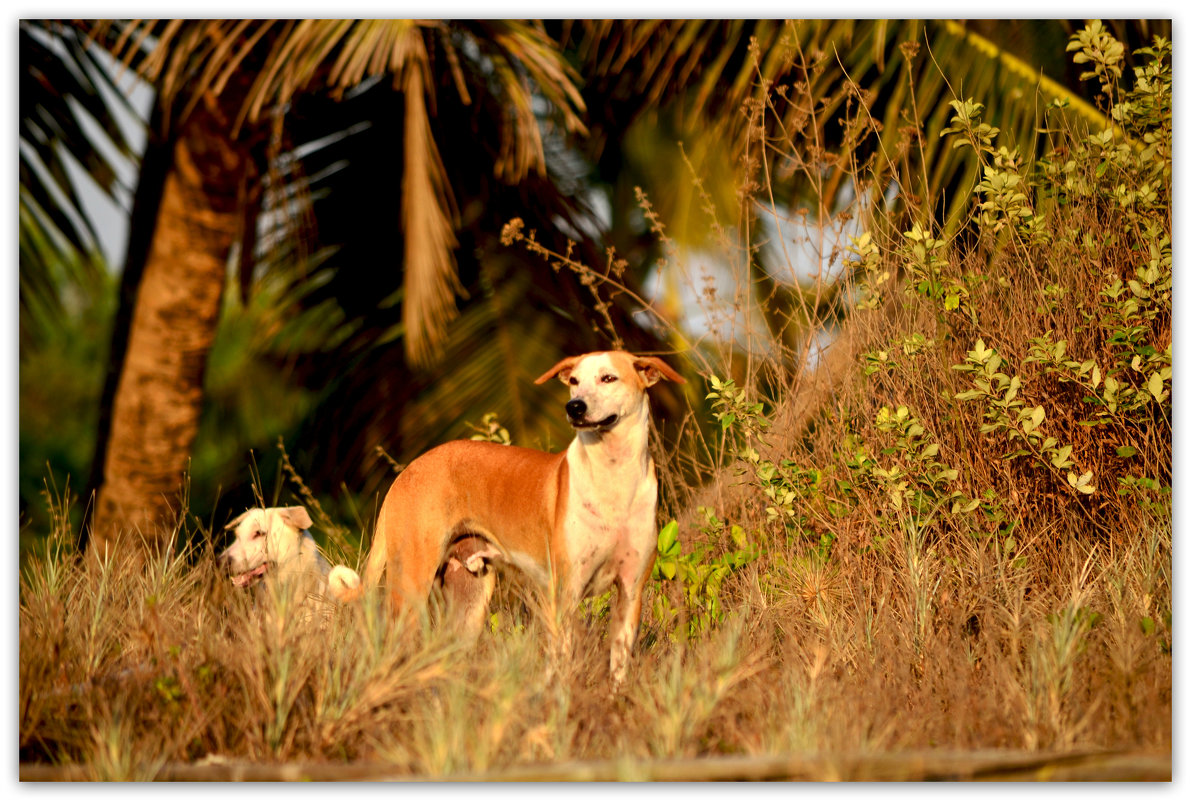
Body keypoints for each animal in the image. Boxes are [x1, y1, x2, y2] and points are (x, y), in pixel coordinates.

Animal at [340, 347, 686, 680]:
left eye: (608, 378)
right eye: (574, 380)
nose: (574, 407)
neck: (613, 479)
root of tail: (407, 471)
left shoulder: (630, 591)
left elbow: (618, 670)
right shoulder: (565, 593)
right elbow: (559, 666)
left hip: (469, 604)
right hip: (411, 587)